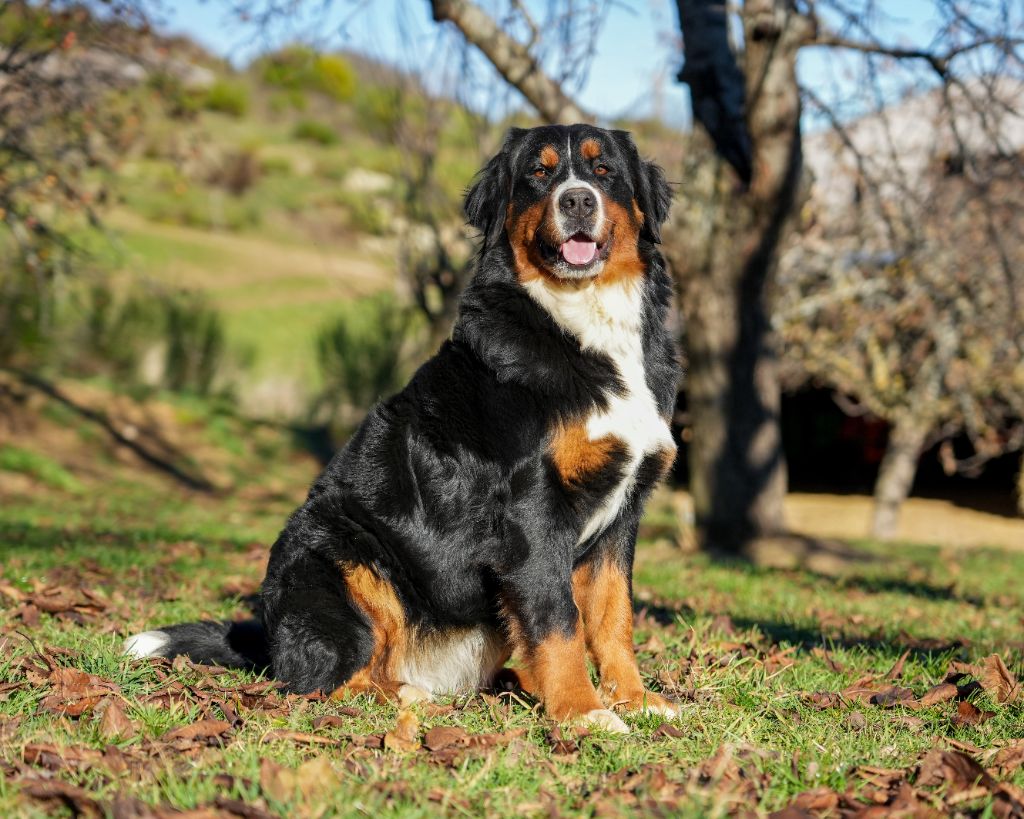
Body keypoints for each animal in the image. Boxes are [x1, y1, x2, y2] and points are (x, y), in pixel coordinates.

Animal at [125, 123, 679, 737]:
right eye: (539, 171)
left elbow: (612, 616)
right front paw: (583, 713)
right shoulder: (533, 509)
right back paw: (409, 696)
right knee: (325, 679)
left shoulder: (623, 512)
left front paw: (634, 698)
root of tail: (270, 634)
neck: (583, 322)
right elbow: (557, 621)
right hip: (342, 558)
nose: (577, 200)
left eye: (603, 171)